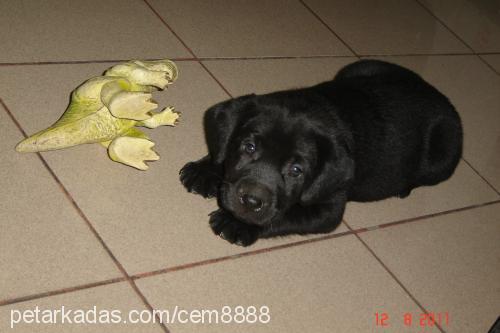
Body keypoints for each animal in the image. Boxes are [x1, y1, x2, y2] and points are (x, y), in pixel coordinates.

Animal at [179, 59, 460, 246]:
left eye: (296, 170)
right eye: (249, 147)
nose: (250, 201)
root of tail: (438, 95)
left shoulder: (329, 210)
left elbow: (285, 215)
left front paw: (238, 224)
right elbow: (222, 147)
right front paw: (206, 169)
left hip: (442, 159)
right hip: (357, 67)